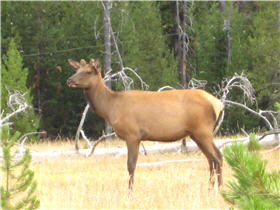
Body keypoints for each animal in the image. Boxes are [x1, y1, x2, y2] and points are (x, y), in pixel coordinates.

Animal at [66, 57, 224, 190]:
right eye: (76, 70)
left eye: (88, 71)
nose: (69, 80)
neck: (110, 109)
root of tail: (218, 103)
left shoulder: (132, 134)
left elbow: (131, 165)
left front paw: (130, 191)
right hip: (195, 134)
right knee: (211, 159)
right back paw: (210, 188)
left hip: (203, 130)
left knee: (218, 156)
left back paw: (220, 188)